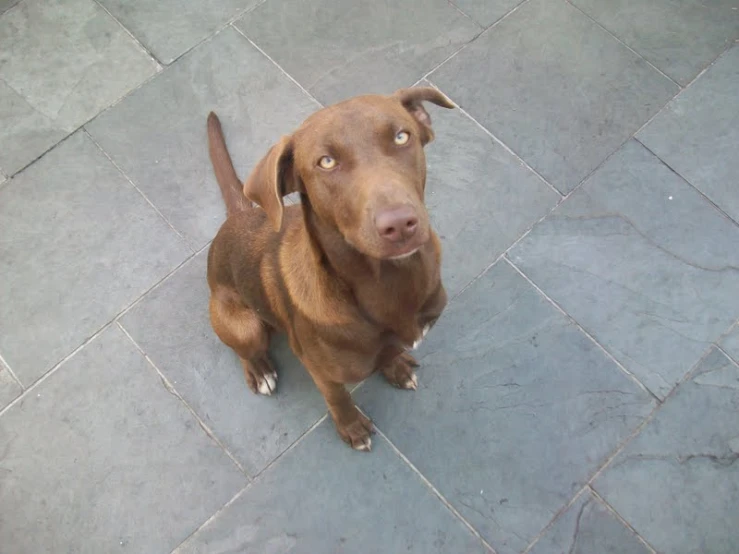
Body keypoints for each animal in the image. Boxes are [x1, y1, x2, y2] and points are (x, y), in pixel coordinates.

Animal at [205, 86, 454, 448]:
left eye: (401, 136)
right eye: (326, 162)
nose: (399, 225)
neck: (386, 282)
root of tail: (240, 214)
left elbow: (390, 353)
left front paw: (396, 367)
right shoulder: (321, 370)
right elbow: (338, 398)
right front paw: (352, 427)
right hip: (243, 326)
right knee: (244, 348)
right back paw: (260, 370)